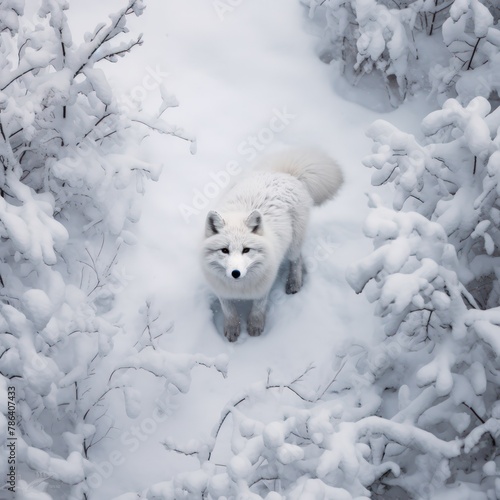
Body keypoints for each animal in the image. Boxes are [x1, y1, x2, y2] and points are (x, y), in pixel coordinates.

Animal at [199, 148, 344, 342]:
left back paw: (294, 283)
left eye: (246, 250)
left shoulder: (263, 288)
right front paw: (232, 329)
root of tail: (285, 174)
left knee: (296, 259)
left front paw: (255, 327)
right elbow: (228, 311)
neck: (240, 288)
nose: (236, 273)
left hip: (293, 244)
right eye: (224, 250)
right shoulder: (221, 291)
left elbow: (258, 308)